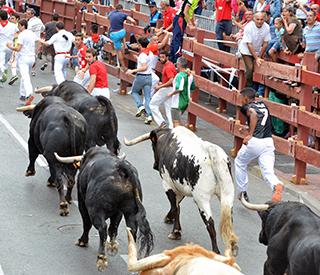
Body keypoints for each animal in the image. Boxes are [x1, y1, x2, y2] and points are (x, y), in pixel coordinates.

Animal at [124, 126, 239, 258]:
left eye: (153, 145)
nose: (155, 165)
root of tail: (212, 151)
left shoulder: (167, 184)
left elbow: (175, 207)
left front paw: (176, 232)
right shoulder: (180, 188)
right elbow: (177, 206)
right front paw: (170, 219)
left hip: (201, 199)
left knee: (210, 223)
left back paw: (215, 251)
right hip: (227, 196)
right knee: (229, 220)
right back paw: (232, 246)